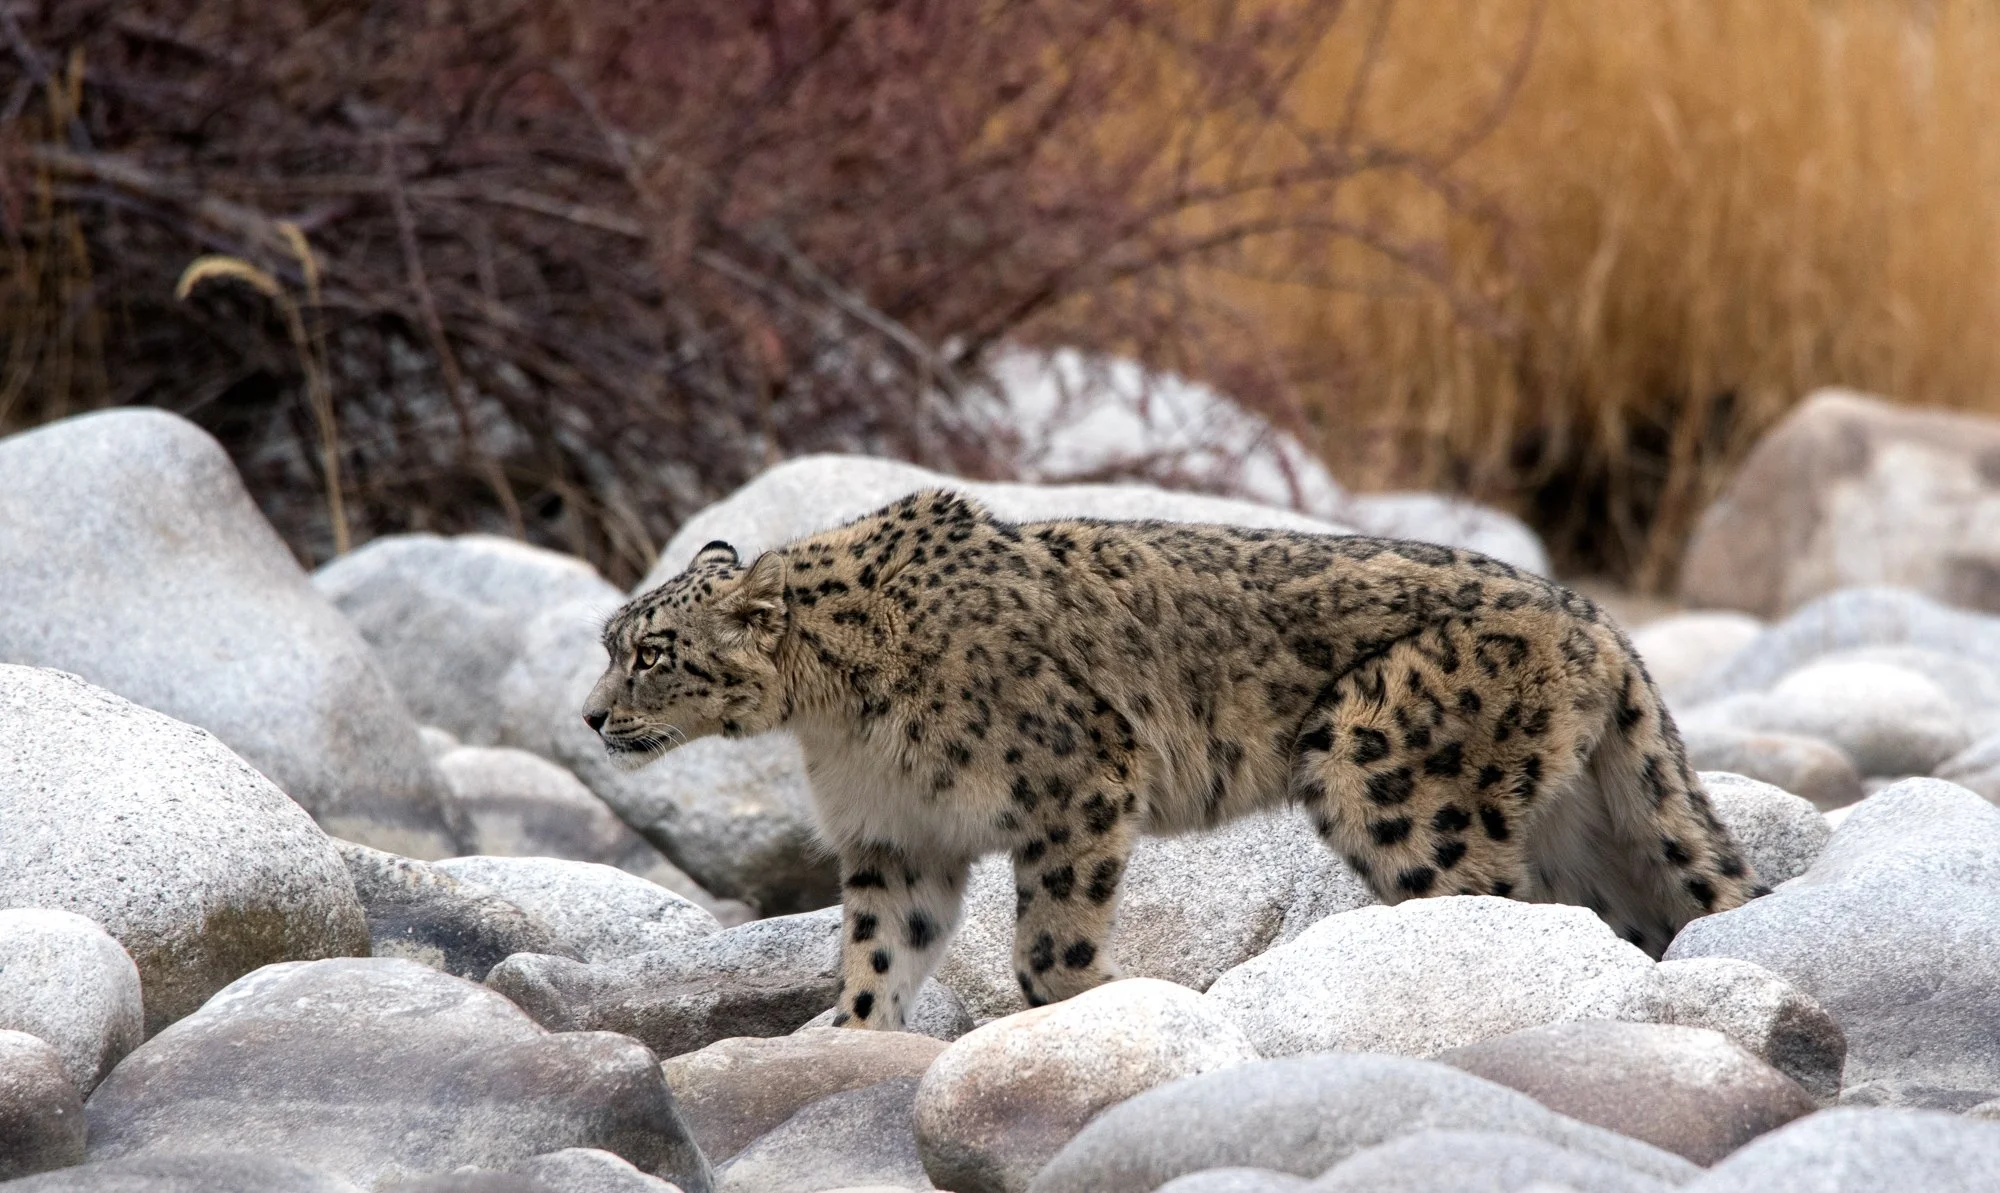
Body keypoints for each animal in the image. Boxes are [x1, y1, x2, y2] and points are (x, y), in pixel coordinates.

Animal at [583, 489, 1760, 1031]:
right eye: (608, 640)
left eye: (652, 652)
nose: (591, 718)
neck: (835, 720)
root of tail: (1592, 616)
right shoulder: (895, 835)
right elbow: (877, 950)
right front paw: (852, 1034)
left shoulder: (1078, 779)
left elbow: (1048, 941)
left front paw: (1098, 998)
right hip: (1574, 824)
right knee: (1616, 913)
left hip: (1383, 770)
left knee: (1501, 906)